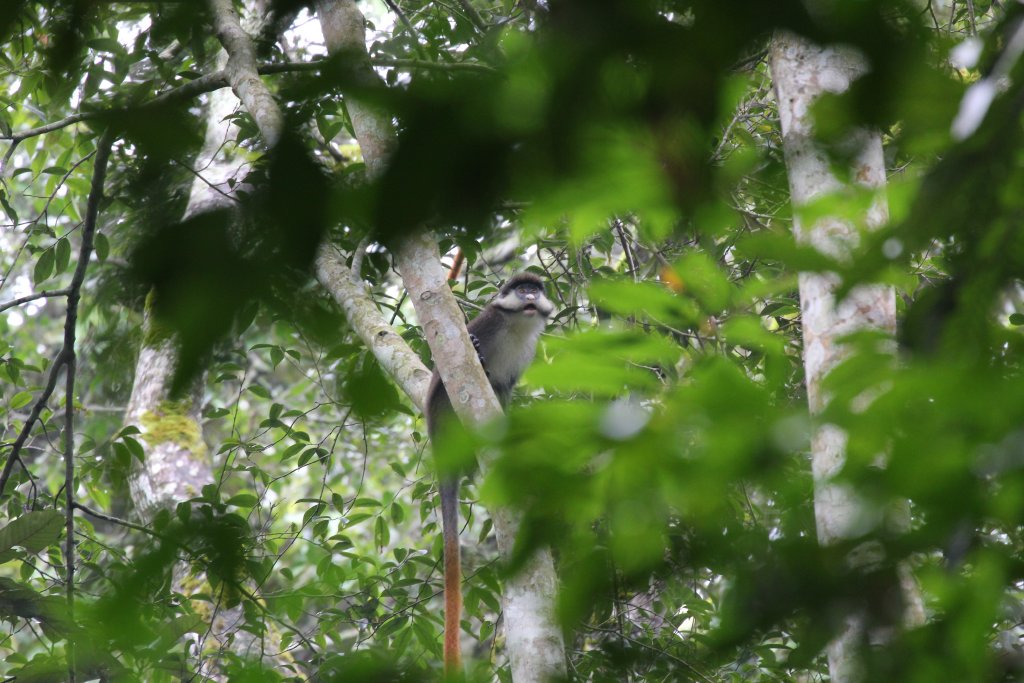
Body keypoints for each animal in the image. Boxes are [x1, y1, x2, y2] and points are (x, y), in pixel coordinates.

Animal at [425, 271, 555, 674]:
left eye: (535, 291)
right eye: (522, 290)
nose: (530, 297)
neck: (516, 326)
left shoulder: (527, 354)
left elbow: (506, 389)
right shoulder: (486, 322)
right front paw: (479, 354)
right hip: (443, 410)